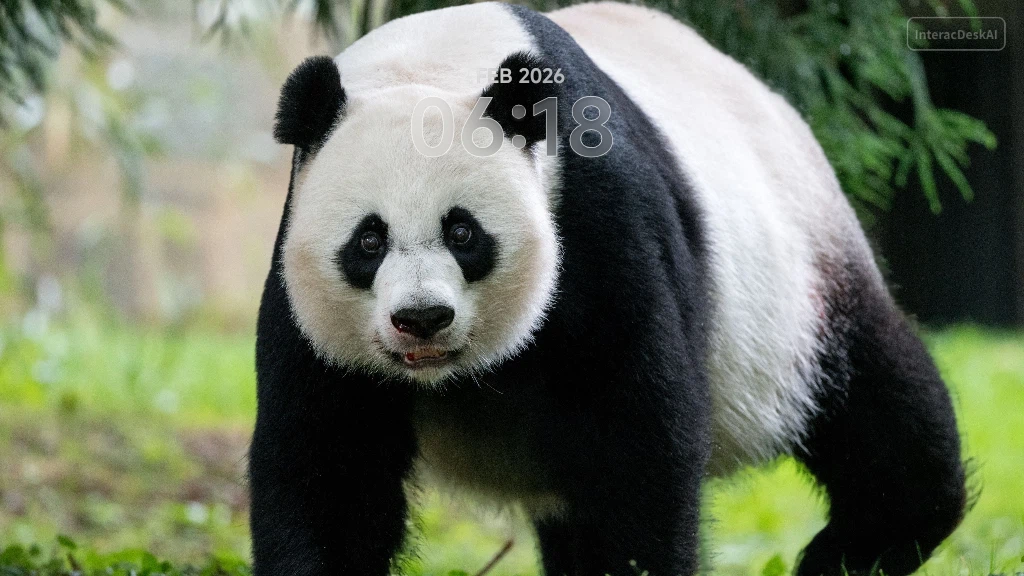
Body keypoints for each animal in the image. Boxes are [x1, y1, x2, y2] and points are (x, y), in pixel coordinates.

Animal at [248, 3, 967, 575]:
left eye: (463, 232)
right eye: (369, 240)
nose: (423, 317)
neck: (432, 62)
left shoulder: (598, 217)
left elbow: (637, 438)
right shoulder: (301, 283)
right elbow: (329, 469)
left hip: (795, 279)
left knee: (874, 402)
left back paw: (863, 545)